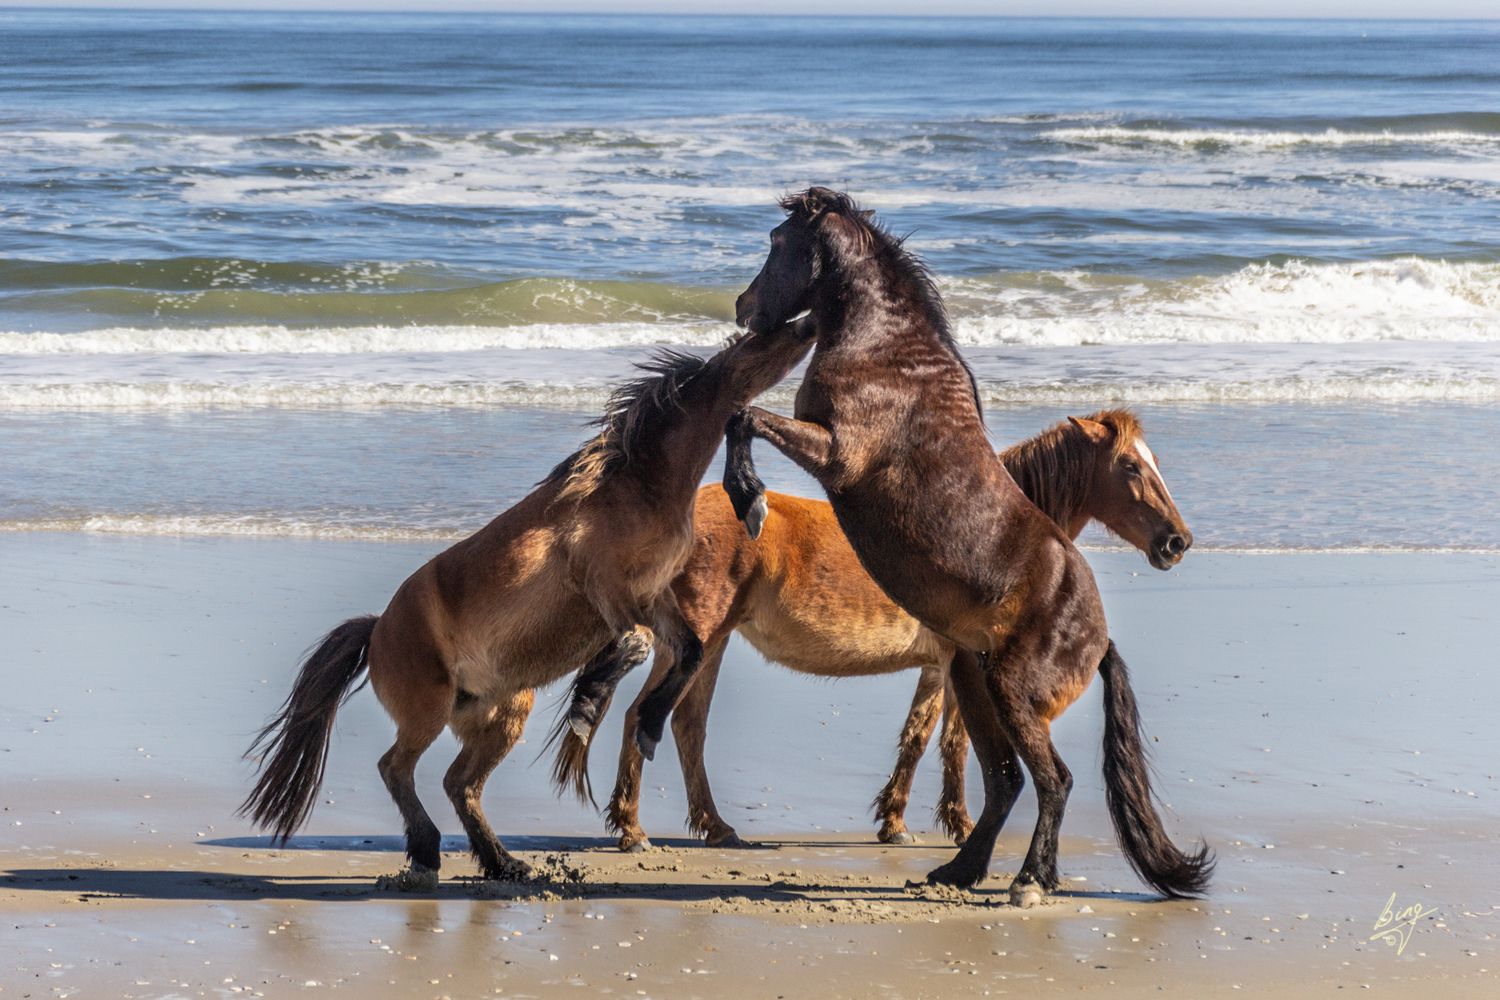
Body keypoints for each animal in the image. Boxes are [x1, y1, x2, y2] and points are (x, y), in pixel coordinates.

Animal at [239, 320, 814, 888]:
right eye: (763, 336)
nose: (808, 325)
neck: (638, 485)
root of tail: (377, 628)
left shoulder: (654, 596)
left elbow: (687, 651)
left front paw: (642, 724)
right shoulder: (606, 587)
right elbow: (634, 644)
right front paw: (587, 703)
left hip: (504, 712)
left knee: (459, 783)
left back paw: (502, 863)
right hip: (428, 710)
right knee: (396, 767)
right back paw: (428, 854)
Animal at [558, 410, 1191, 854]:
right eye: (1130, 467)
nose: (1176, 542)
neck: (996, 538)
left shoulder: (940, 663)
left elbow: (918, 736)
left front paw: (895, 820)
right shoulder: (963, 661)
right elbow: (953, 741)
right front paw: (959, 824)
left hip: (707, 646)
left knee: (684, 727)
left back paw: (713, 827)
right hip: (696, 642)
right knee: (645, 717)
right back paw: (634, 829)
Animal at [711, 188, 1209, 902]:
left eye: (778, 242)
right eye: (1131, 467)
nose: (743, 308)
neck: (887, 352)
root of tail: (1099, 638)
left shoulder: (837, 455)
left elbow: (745, 416)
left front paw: (748, 500)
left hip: (1009, 690)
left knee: (1051, 780)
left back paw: (1028, 881)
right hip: (977, 682)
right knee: (1007, 780)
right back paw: (963, 870)